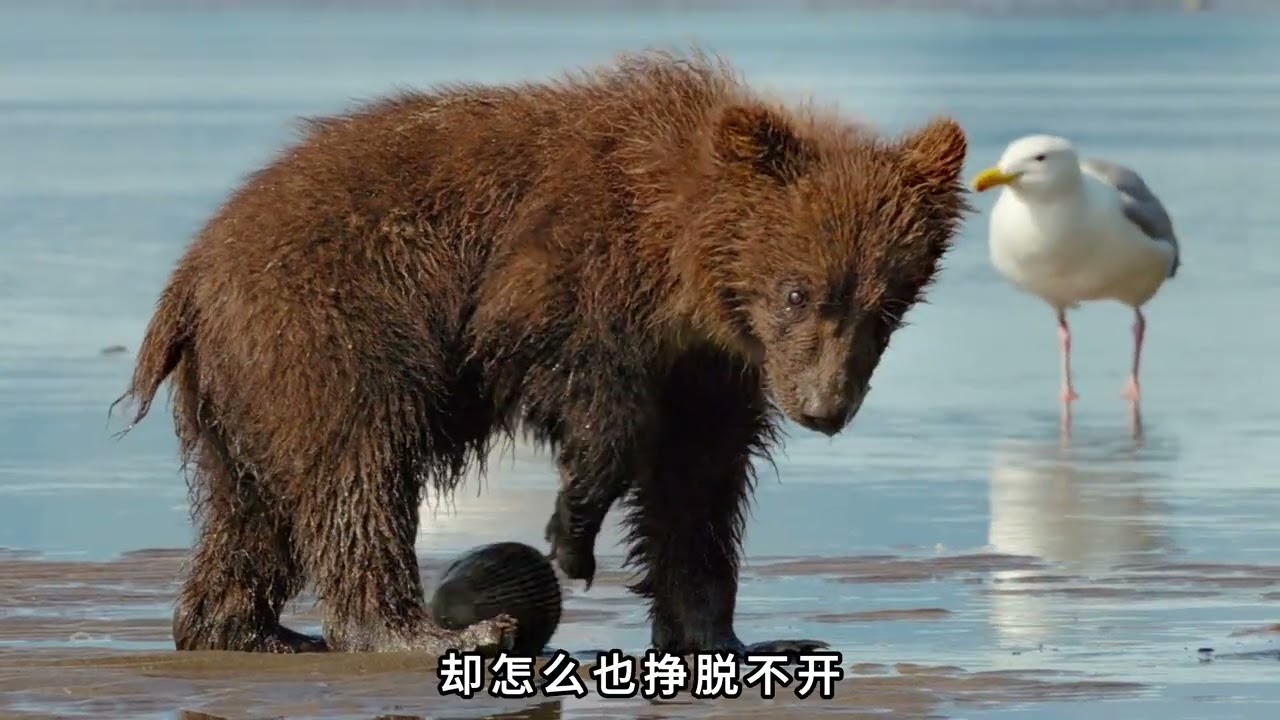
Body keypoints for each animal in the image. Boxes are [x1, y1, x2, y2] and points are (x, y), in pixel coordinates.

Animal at [114, 48, 970, 656]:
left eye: (888, 305)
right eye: (797, 291)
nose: (825, 407)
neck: (682, 264)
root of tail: (192, 274)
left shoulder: (713, 367)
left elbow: (698, 485)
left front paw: (729, 635)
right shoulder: (565, 271)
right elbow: (589, 391)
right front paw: (571, 537)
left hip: (245, 385)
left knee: (254, 509)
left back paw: (246, 628)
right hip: (330, 328)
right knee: (357, 471)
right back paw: (426, 630)